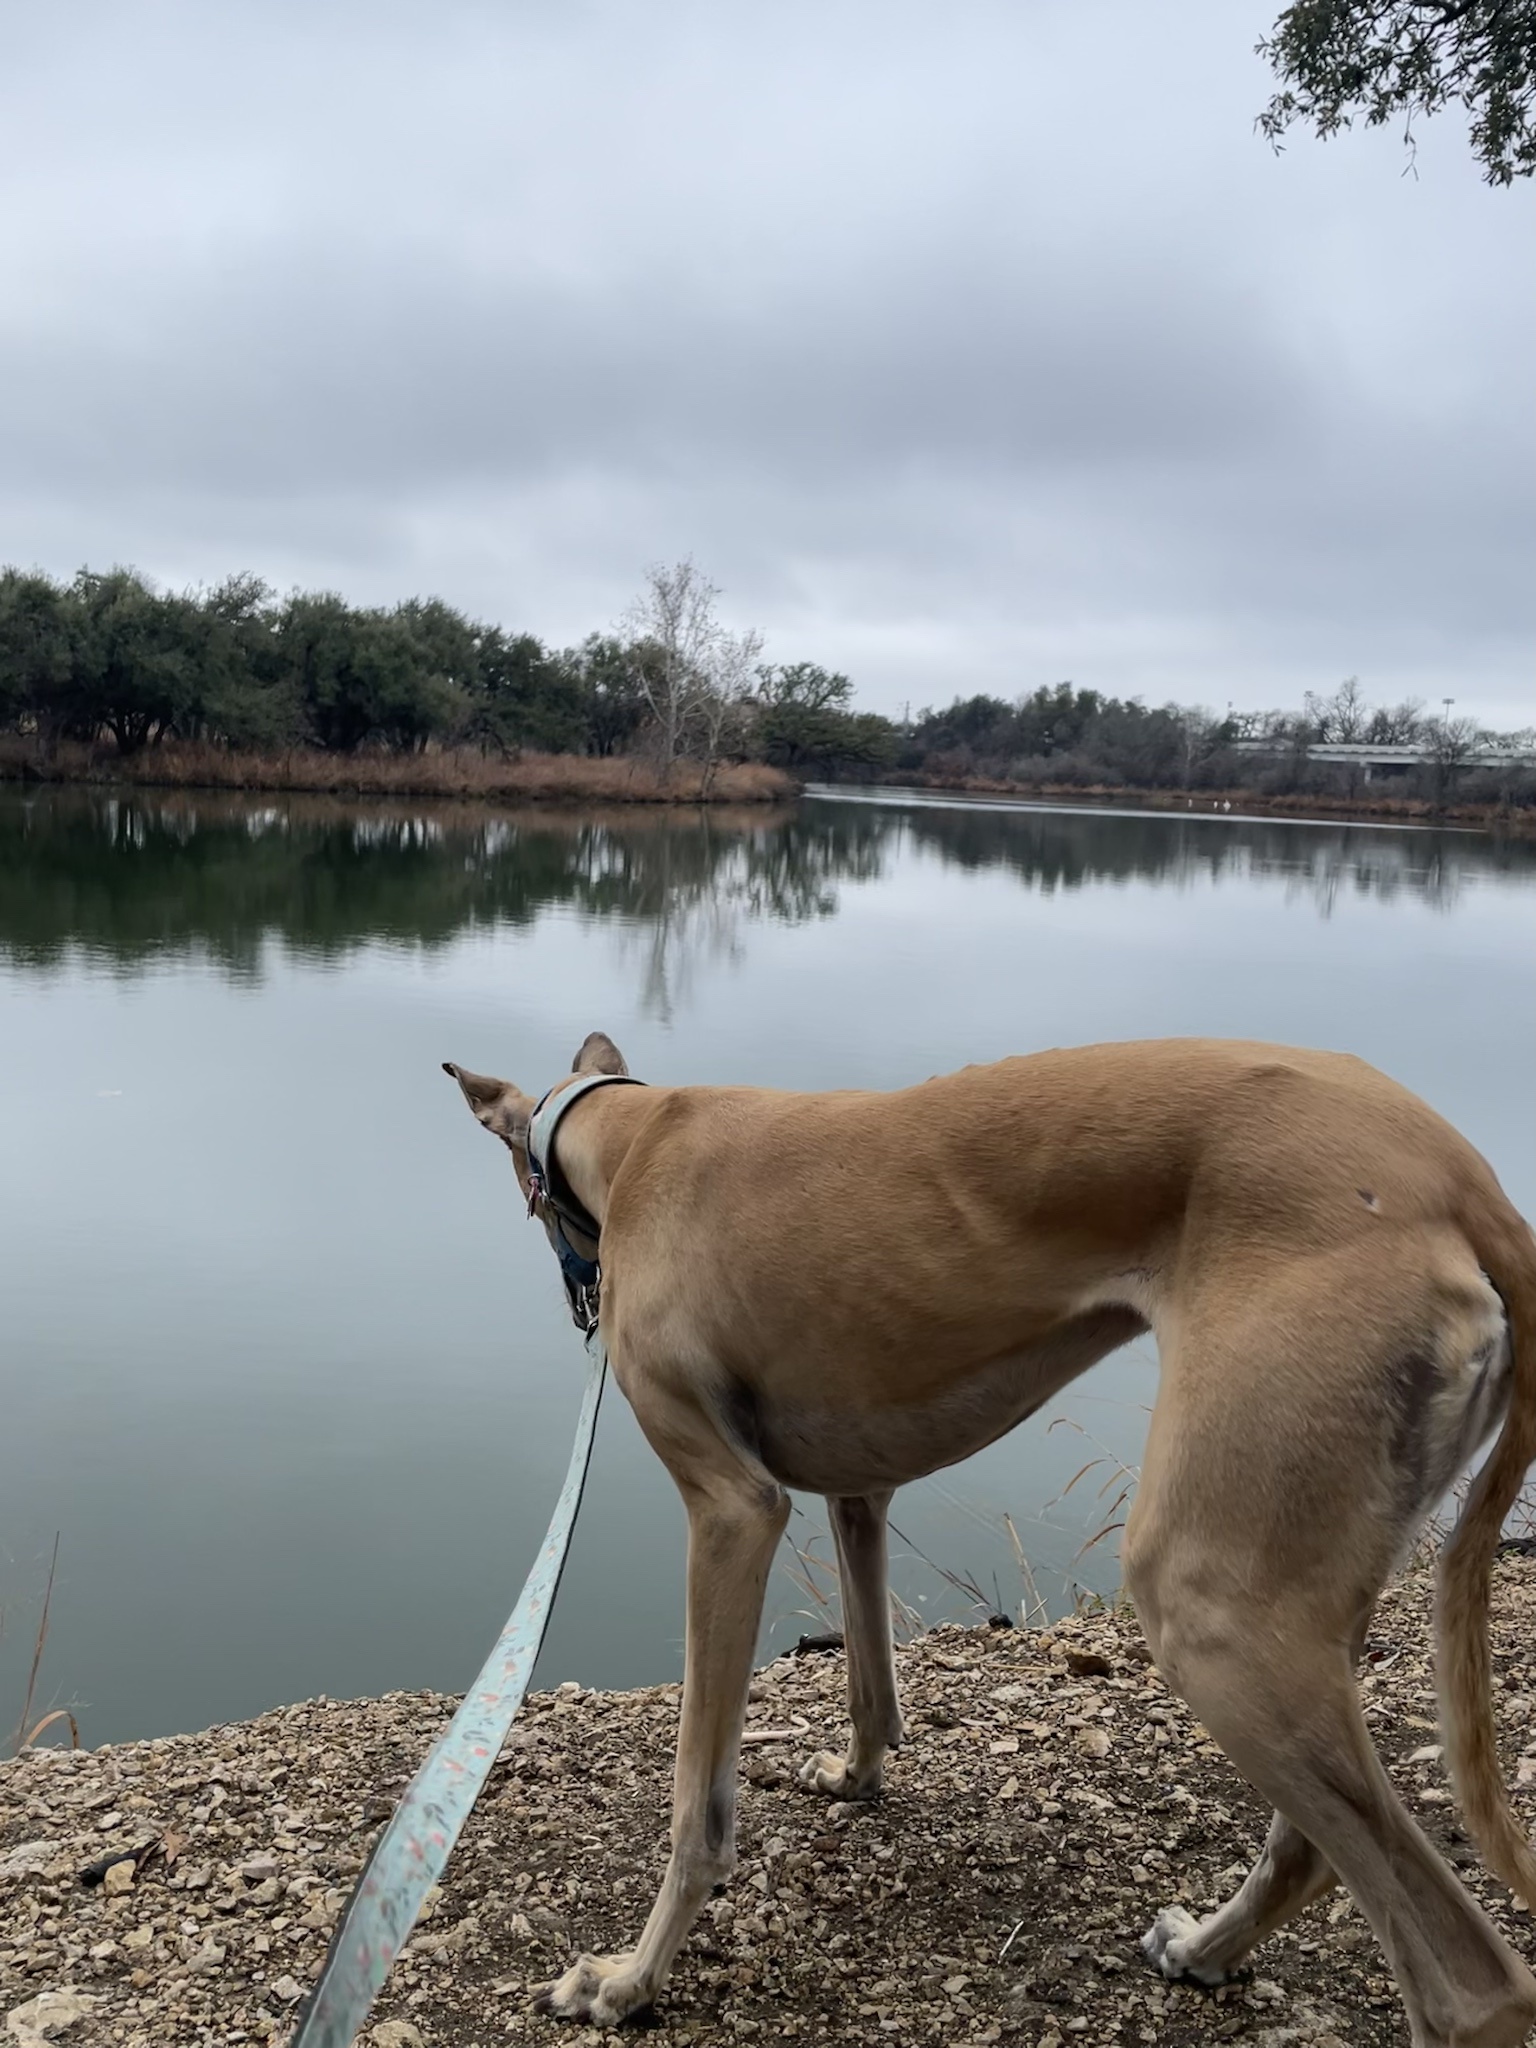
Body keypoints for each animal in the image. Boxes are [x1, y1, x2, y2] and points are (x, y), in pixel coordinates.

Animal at [448, 1040, 1536, 2048]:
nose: (576, 1302)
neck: (638, 1132)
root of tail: (1462, 1178)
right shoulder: (859, 1487)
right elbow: (871, 1679)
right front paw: (856, 1778)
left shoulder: (731, 1511)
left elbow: (697, 1809)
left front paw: (628, 1982)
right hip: (1306, 1571)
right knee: (1313, 1845)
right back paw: (1202, 1948)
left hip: (1210, 1599)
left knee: (1470, 1982)